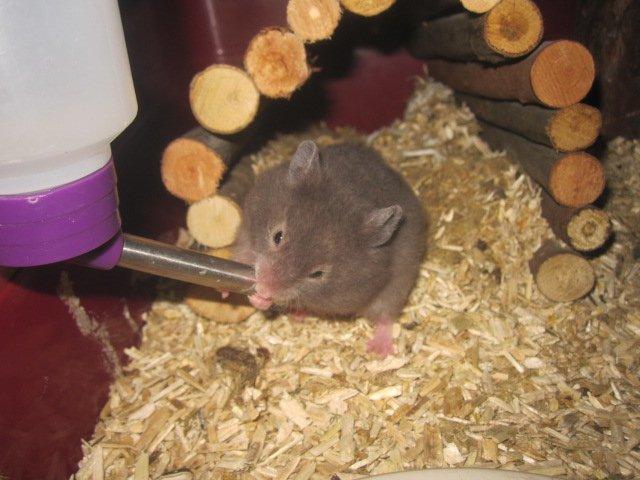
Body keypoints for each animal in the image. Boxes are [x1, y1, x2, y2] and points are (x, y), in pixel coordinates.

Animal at [233, 140, 427, 357]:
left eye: (317, 274)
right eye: (277, 236)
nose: (263, 287)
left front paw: (261, 297)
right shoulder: (247, 225)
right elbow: (243, 252)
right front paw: (251, 294)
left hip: (398, 285)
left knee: (386, 317)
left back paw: (380, 350)